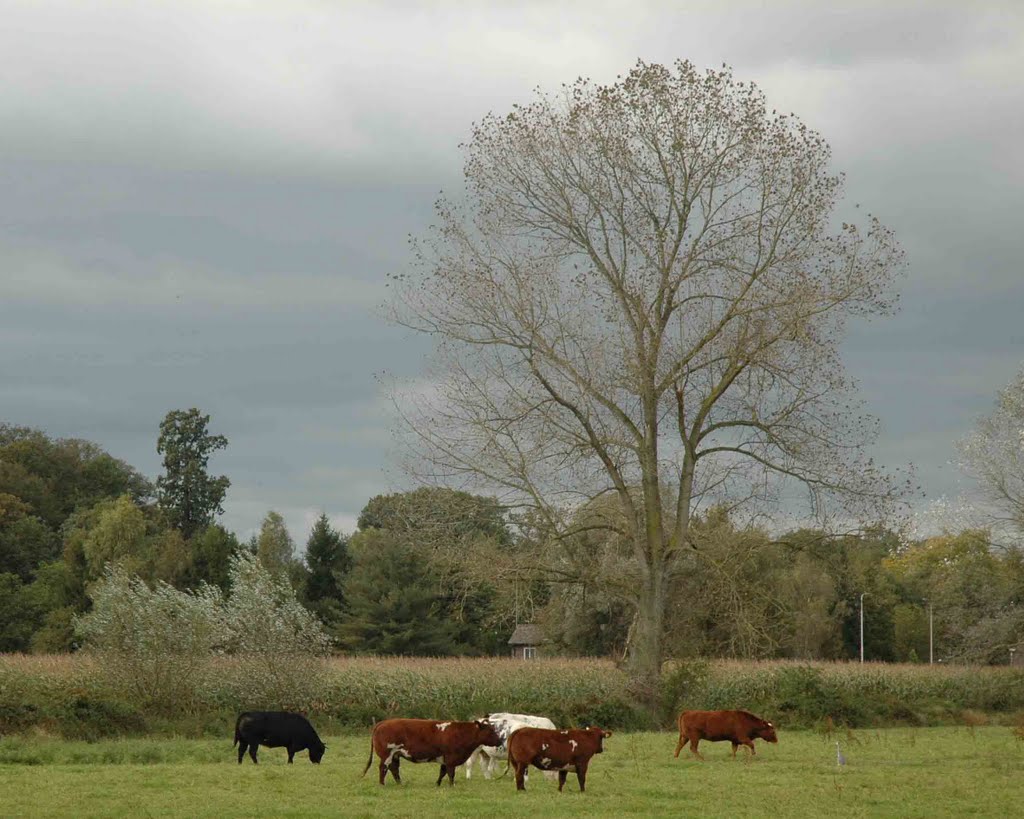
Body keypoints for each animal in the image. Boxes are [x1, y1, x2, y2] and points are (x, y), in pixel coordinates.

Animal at [362, 716, 501, 786]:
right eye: (490, 731)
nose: (500, 741)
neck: (461, 733)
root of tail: (382, 723)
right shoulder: (451, 758)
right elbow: (450, 773)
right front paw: (451, 785)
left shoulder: (445, 759)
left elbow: (442, 772)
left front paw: (437, 783)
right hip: (387, 754)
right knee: (383, 768)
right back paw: (382, 784)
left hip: (395, 754)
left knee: (394, 768)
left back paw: (400, 783)